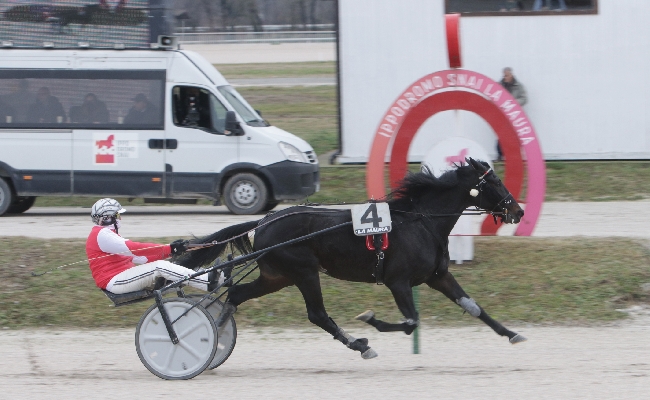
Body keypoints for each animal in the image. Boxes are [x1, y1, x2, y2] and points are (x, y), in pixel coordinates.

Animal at [177, 159, 528, 360]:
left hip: (277, 276)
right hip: (304, 272)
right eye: (495, 182)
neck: (421, 221)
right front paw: (371, 319)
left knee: (236, 294)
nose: (518, 210)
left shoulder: (437, 276)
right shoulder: (398, 281)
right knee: (318, 314)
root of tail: (264, 221)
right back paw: (359, 345)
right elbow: (411, 321)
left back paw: (215, 333)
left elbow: (473, 307)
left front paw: (512, 334)